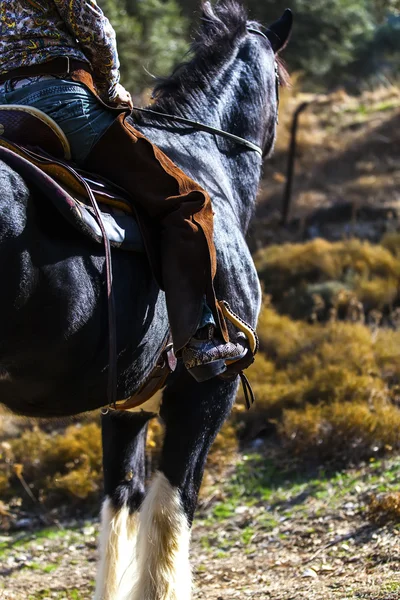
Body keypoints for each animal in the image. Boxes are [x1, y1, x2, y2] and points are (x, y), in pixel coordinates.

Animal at [0, 2, 290, 596]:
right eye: (279, 77)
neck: (206, 159)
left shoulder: (125, 406)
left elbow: (122, 509)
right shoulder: (208, 391)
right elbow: (169, 514)